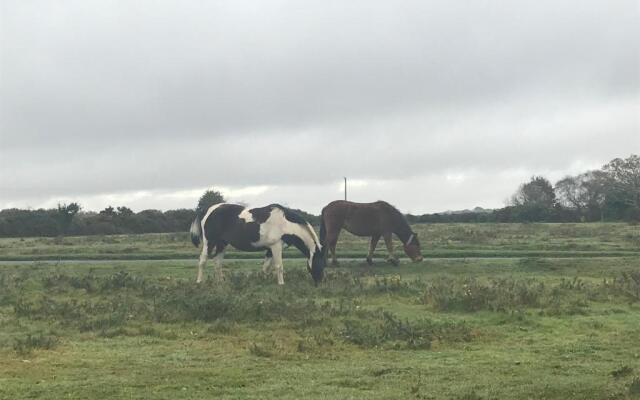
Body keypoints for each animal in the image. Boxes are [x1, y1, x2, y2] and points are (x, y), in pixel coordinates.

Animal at [190, 203, 324, 284]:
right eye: (319, 263)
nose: (320, 281)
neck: (285, 223)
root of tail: (208, 210)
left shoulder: (270, 249)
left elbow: (266, 267)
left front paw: (262, 281)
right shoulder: (276, 247)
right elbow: (279, 266)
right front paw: (281, 284)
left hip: (222, 244)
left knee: (217, 262)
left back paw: (221, 282)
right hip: (210, 242)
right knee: (203, 261)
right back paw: (199, 282)